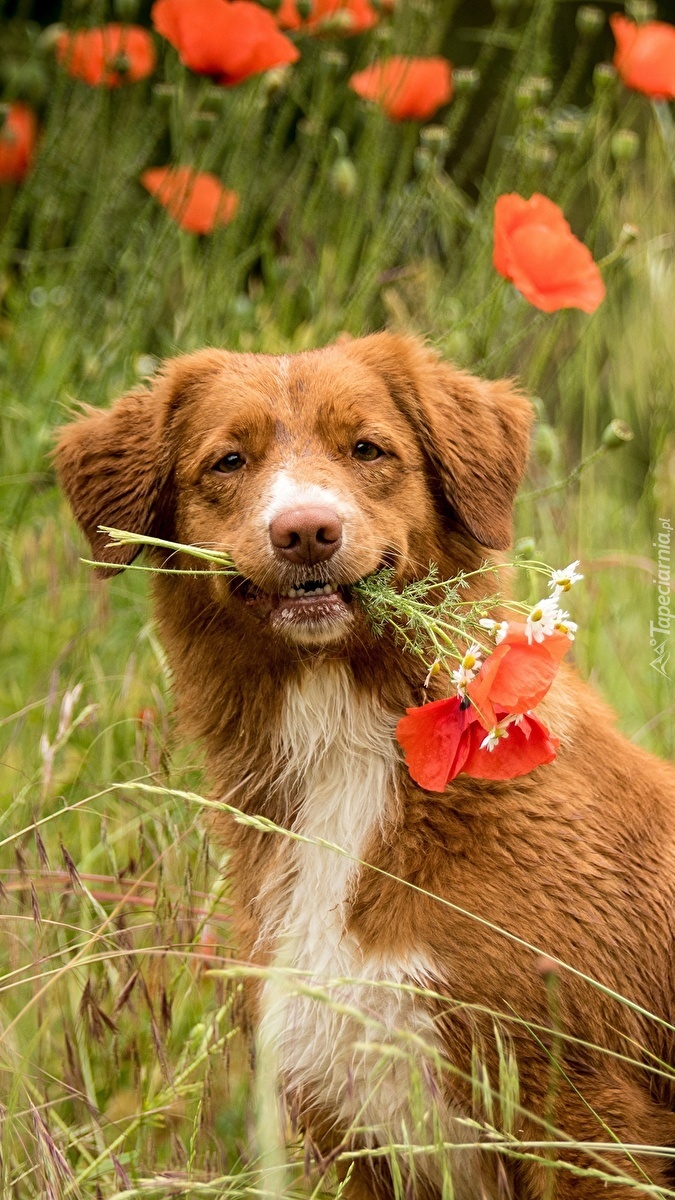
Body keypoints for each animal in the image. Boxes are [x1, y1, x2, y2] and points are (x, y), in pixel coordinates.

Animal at [55, 331, 672, 1200]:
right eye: (228, 461)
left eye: (368, 449)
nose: (306, 530)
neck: (344, 752)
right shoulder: (348, 1122)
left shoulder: (588, 1116)